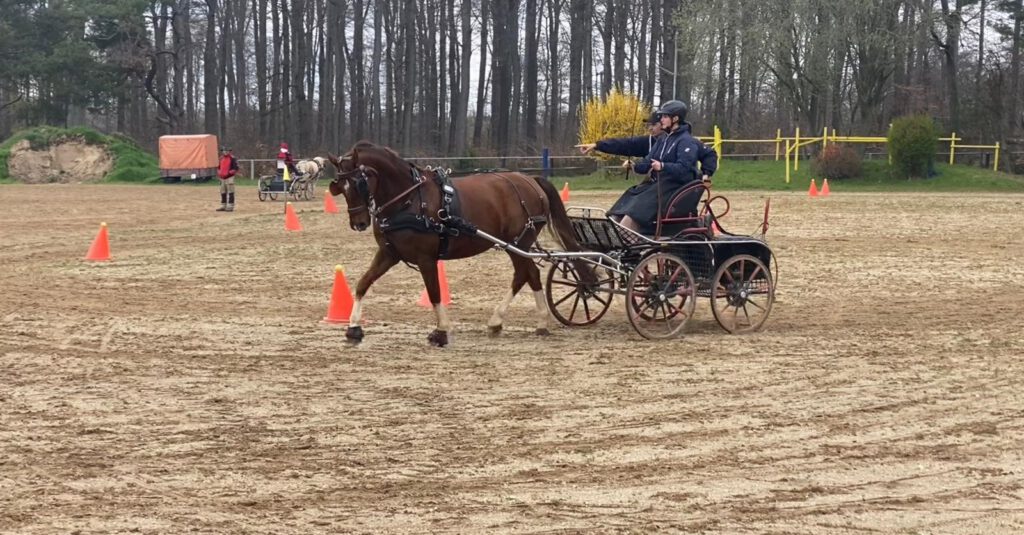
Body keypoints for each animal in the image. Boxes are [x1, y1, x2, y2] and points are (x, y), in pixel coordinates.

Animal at [323, 141, 589, 346]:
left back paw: (535, 320)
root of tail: (529, 180)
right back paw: (503, 321)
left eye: (359, 183)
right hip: (514, 244)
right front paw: (353, 328)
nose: (358, 223)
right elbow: (363, 283)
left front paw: (441, 331)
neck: (409, 199)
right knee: (527, 274)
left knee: (527, 273)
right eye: (340, 186)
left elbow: (434, 292)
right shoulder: (389, 254)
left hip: (520, 242)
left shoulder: (426, 258)